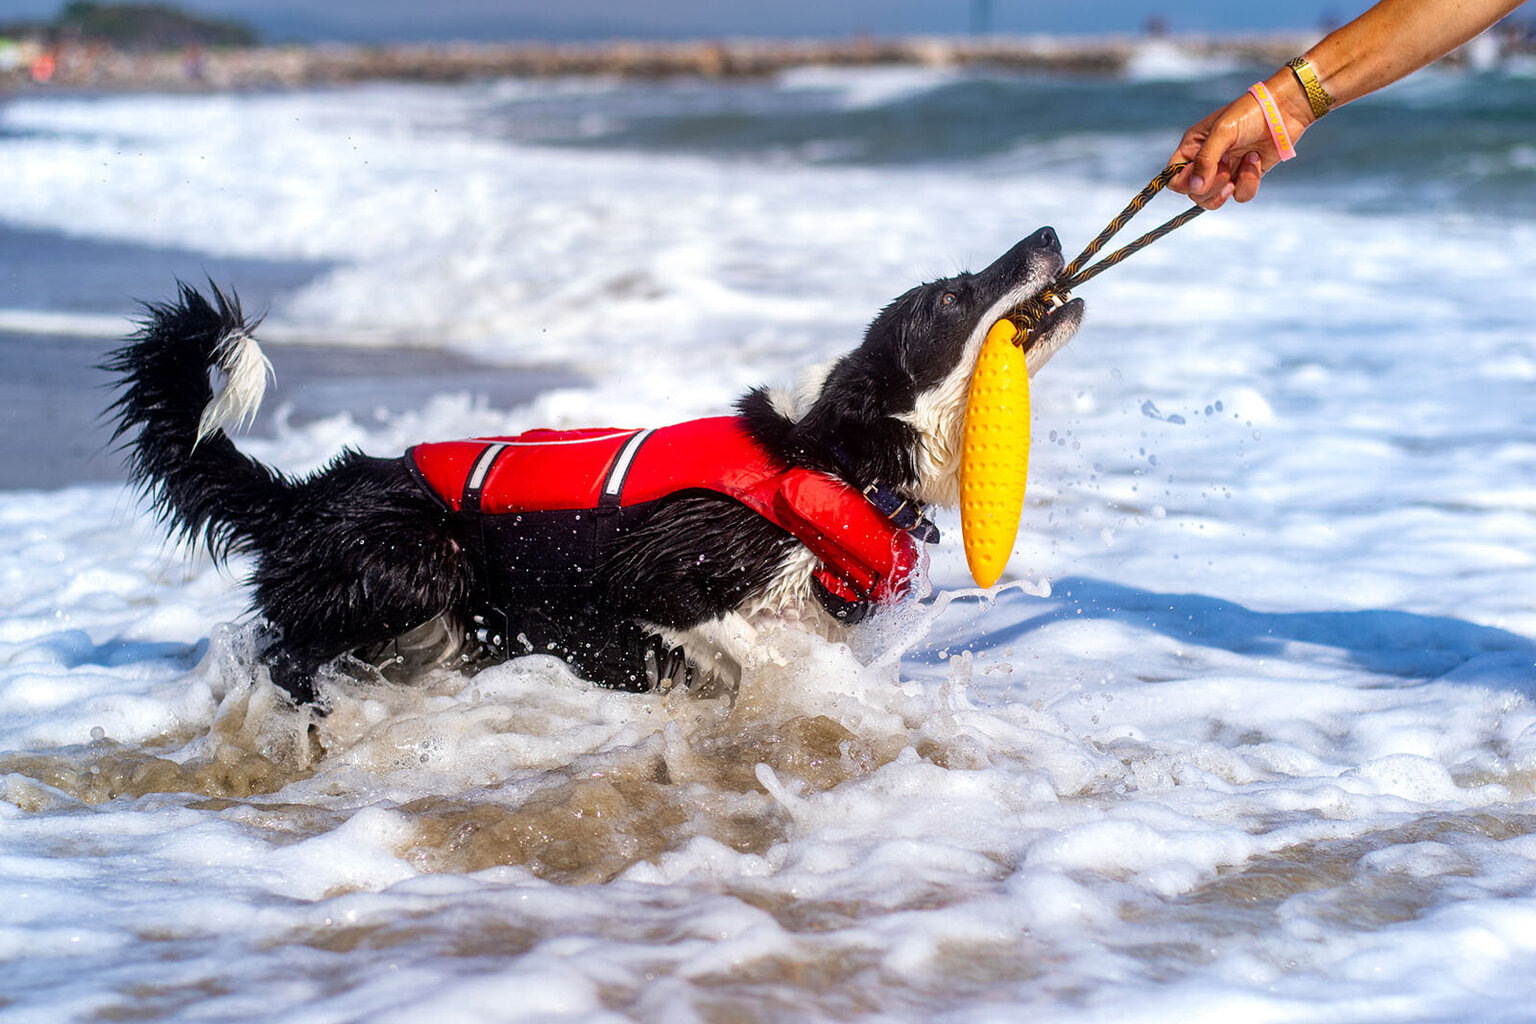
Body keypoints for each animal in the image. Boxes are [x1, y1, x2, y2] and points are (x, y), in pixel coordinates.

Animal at [105, 228, 1081, 706]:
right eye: (952, 296)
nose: (1046, 230)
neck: (826, 455)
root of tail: (307, 495)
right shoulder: (662, 573)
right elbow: (744, 641)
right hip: (419, 559)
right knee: (286, 650)